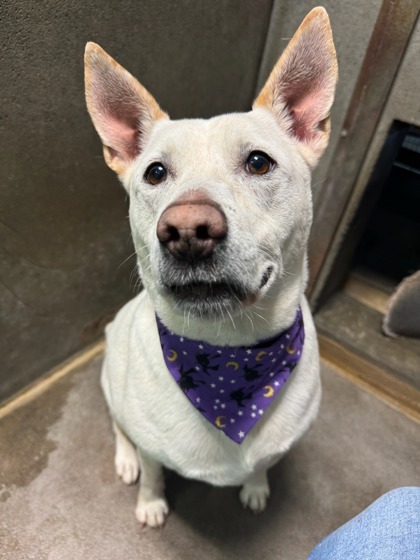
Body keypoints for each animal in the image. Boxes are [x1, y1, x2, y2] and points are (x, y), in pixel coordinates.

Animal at [84, 6, 338, 528]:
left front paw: (256, 488)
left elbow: (263, 464)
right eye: (155, 173)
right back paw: (125, 460)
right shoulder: (152, 445)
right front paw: (151, 502)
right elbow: (153, 469)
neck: (227, 359)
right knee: (120, 427)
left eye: (259, 162)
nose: (186, 231)